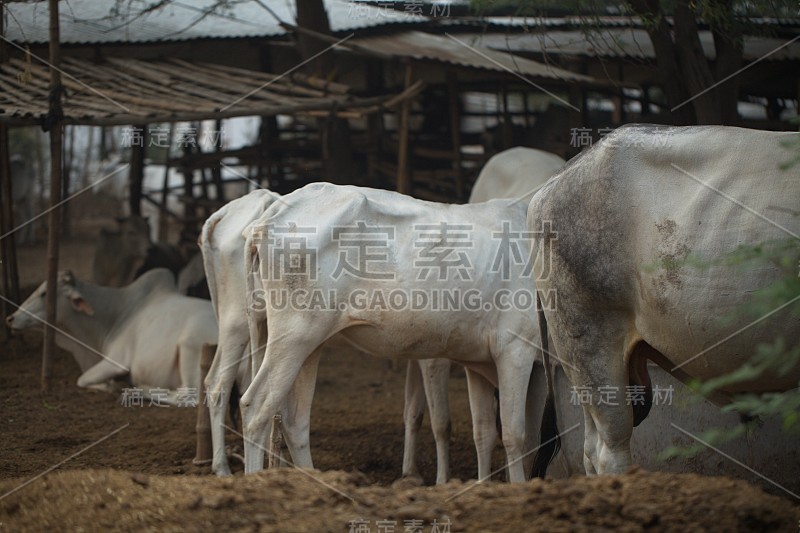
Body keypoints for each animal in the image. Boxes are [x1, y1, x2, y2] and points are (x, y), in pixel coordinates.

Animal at [7, 268, 219, 402]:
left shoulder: (116, 361)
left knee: (188, 396)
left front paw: (113, 386)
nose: (11, 318)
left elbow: (82, 379)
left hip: (189, 347)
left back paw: (139, 390)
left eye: (45, 293)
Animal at [244, 182, 544, 482]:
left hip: (306, 343)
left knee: (294, 421)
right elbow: (515, 435)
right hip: (294, 337)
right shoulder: (516, 349)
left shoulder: (486, 362)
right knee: (254, 408)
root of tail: (270, 216)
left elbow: (490, 433)